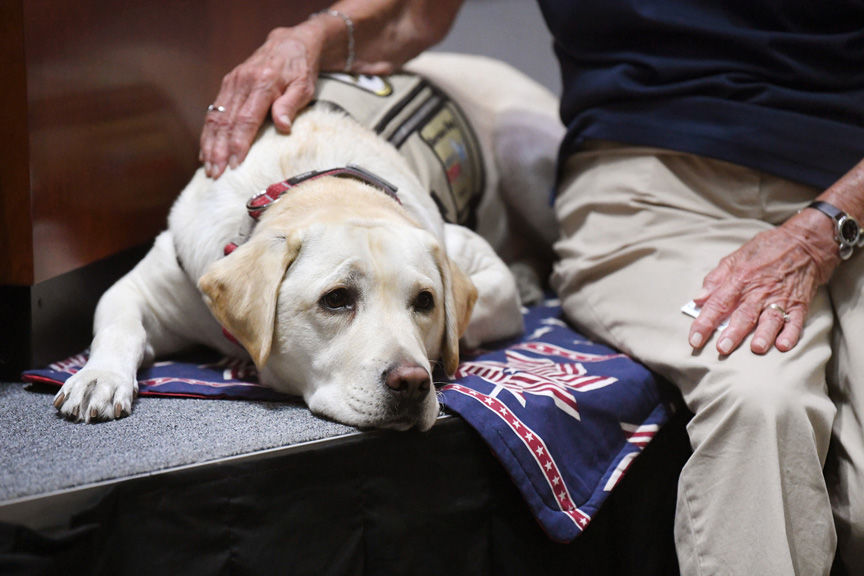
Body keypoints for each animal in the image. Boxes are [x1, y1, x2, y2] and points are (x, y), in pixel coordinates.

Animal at [52, 54, 560, 430]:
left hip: (521, 152)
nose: (414, 382)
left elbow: (468, 318)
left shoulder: (468, 257)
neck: (317, 184)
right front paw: (97, 378)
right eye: (336, 299)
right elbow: (120, 326)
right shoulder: (145, 287)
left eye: (426, 301)